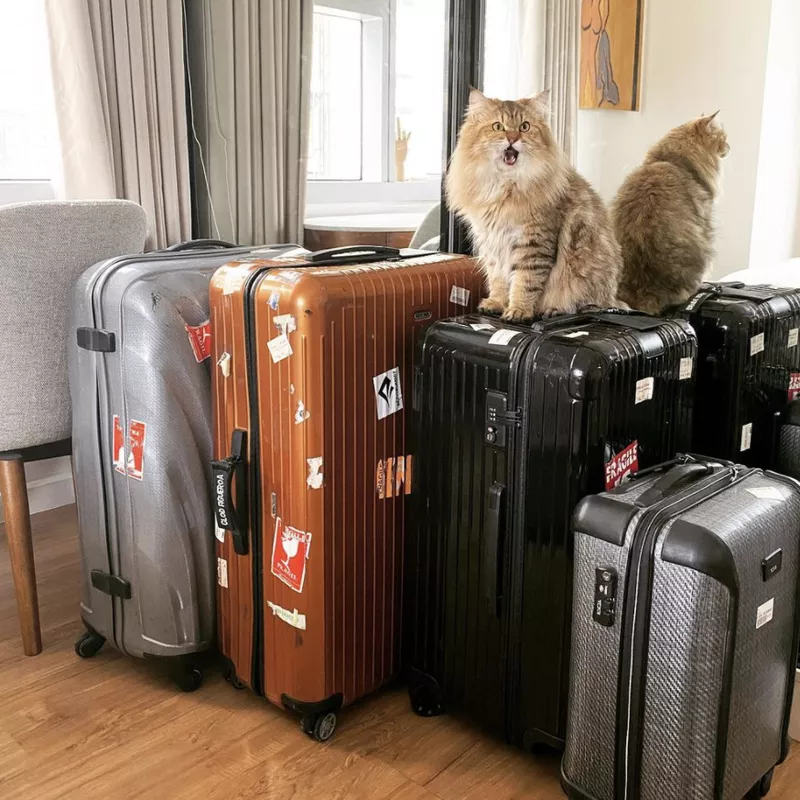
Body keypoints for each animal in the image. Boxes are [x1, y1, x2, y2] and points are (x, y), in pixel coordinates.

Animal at [446, 88, 620, 322]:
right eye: (498, 126)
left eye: (524, 127)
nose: (512, 138)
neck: (505, 187)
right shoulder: (492, 243)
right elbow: (497, 280)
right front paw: (496, 303)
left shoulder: (533, 244)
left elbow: (524, 282)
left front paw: (518, 311)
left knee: (585, 305)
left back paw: (554, 309)